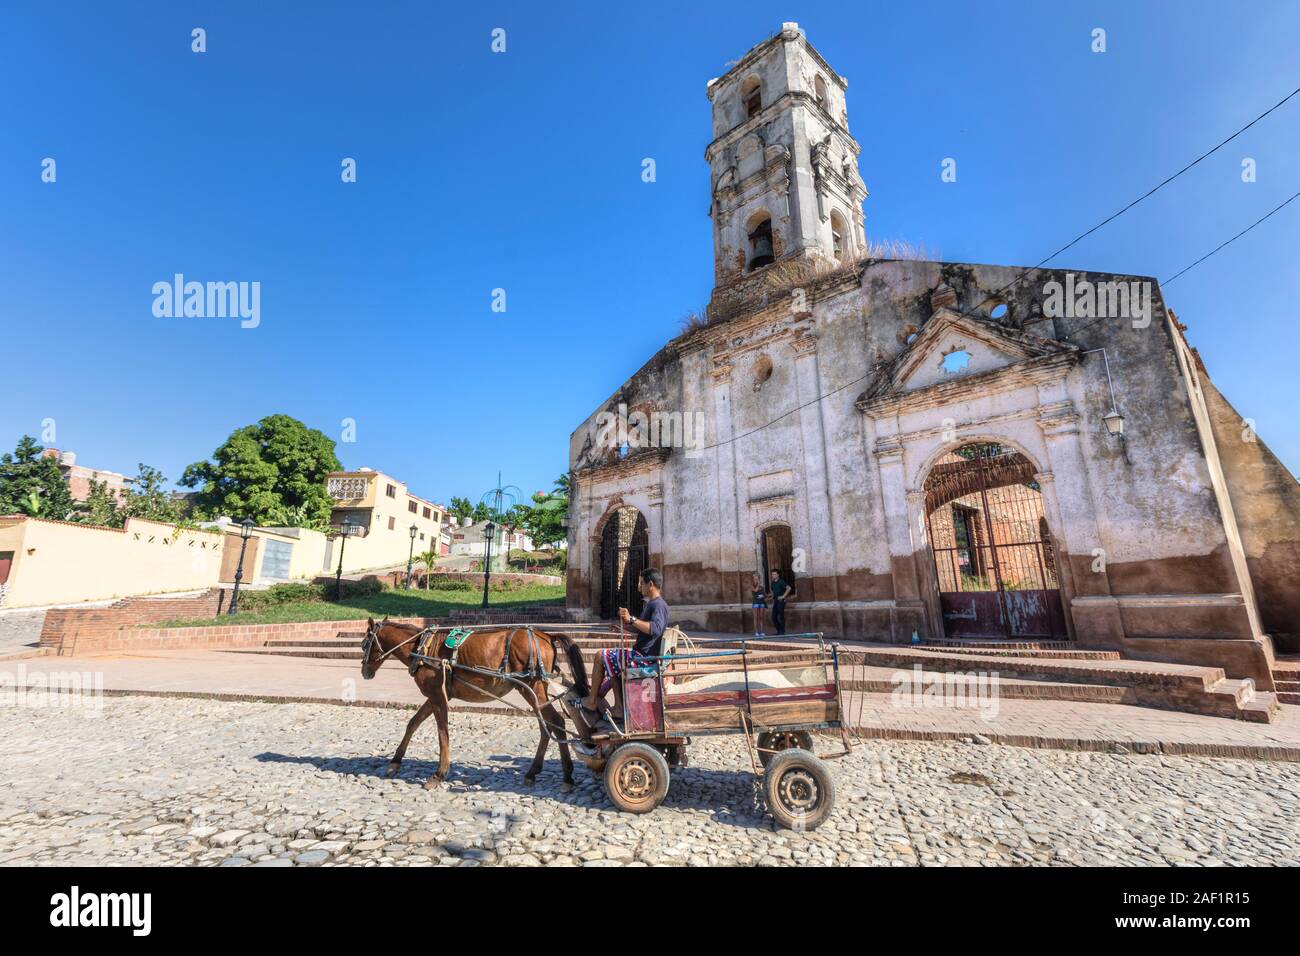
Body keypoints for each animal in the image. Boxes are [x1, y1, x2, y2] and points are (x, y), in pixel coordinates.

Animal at [361, 621, 595, 790]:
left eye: (365, 644)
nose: (365, 671)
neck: (422, 647)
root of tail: (546, 635)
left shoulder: (438, 696)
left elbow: (442, 732)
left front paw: (439, 774)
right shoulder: (434, 696)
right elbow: (413, 723)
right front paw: (395, 762)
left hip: (533, 686)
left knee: (555, 722)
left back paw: (566, 776)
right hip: (532, 690)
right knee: (546, 726)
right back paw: (533, 772)